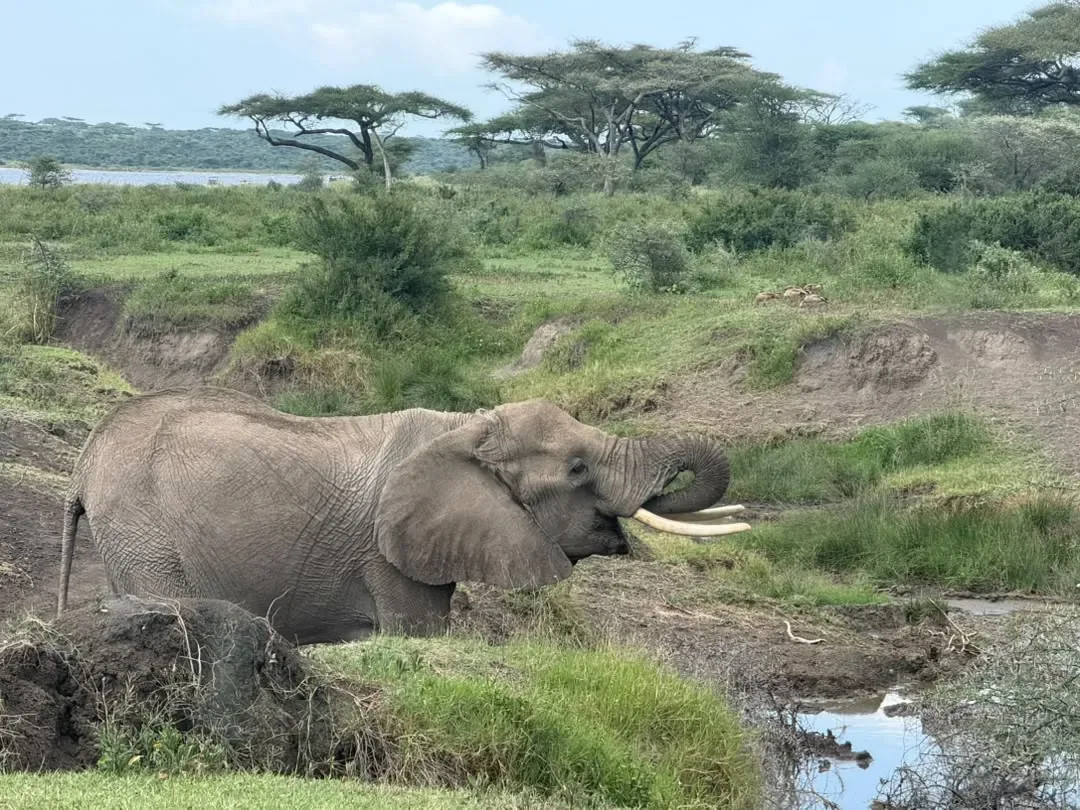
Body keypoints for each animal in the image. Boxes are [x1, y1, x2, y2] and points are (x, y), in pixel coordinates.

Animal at [56, 386, 750, 645]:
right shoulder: (385, 553)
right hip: (143, 530)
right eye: (578, 469)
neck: (467, 427)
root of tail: (84, 464)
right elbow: (420, 633)